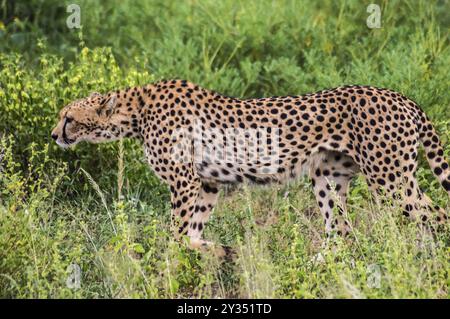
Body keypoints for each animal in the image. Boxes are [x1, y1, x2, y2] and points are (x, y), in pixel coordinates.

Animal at [52, 80, 450, 258]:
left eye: (69, 118)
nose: (54, 134)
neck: (135, 112)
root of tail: (402, 97)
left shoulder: (183, 181)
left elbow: (176, 231)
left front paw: (170, 261)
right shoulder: (206, 183)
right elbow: (193, 226)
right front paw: (207, 249)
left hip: (391, 179)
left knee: (437, 214)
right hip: (328, 178)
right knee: (343, 231)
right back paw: (320, 264)